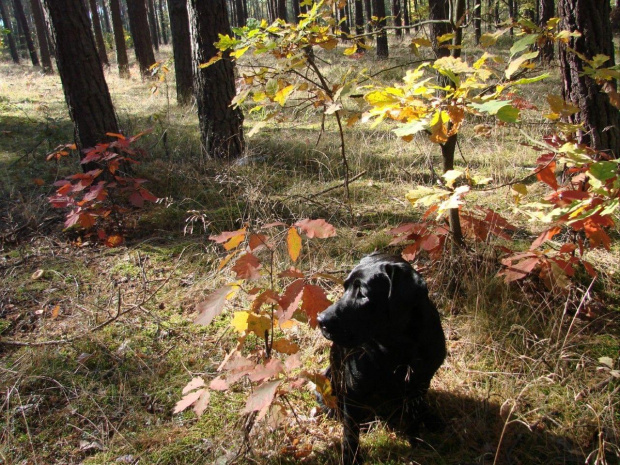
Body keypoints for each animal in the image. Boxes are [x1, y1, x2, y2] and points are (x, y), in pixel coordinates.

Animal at [318, 254, 444, 464]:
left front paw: (416, 439)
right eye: (345, 288)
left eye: (363, 294)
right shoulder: (353, 390)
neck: (397, 345)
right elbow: (350, 433)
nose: (321, 320)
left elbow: (414, 412)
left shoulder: (420, 381)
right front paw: (351, 457)